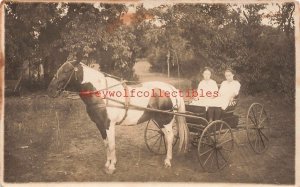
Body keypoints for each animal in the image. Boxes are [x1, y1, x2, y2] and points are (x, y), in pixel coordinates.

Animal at [47, 59, 189, 175]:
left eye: (66, 71)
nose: (50, 89)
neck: (103, 94)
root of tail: (170, 88)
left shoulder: (109, 125)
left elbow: (112, 145)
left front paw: (112, 167)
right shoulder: (100, 125)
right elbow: (106, 144)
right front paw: (107, 164)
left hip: (166, 121)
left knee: (170, 137)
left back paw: (167, 161)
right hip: (159, 121)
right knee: (166, 136)